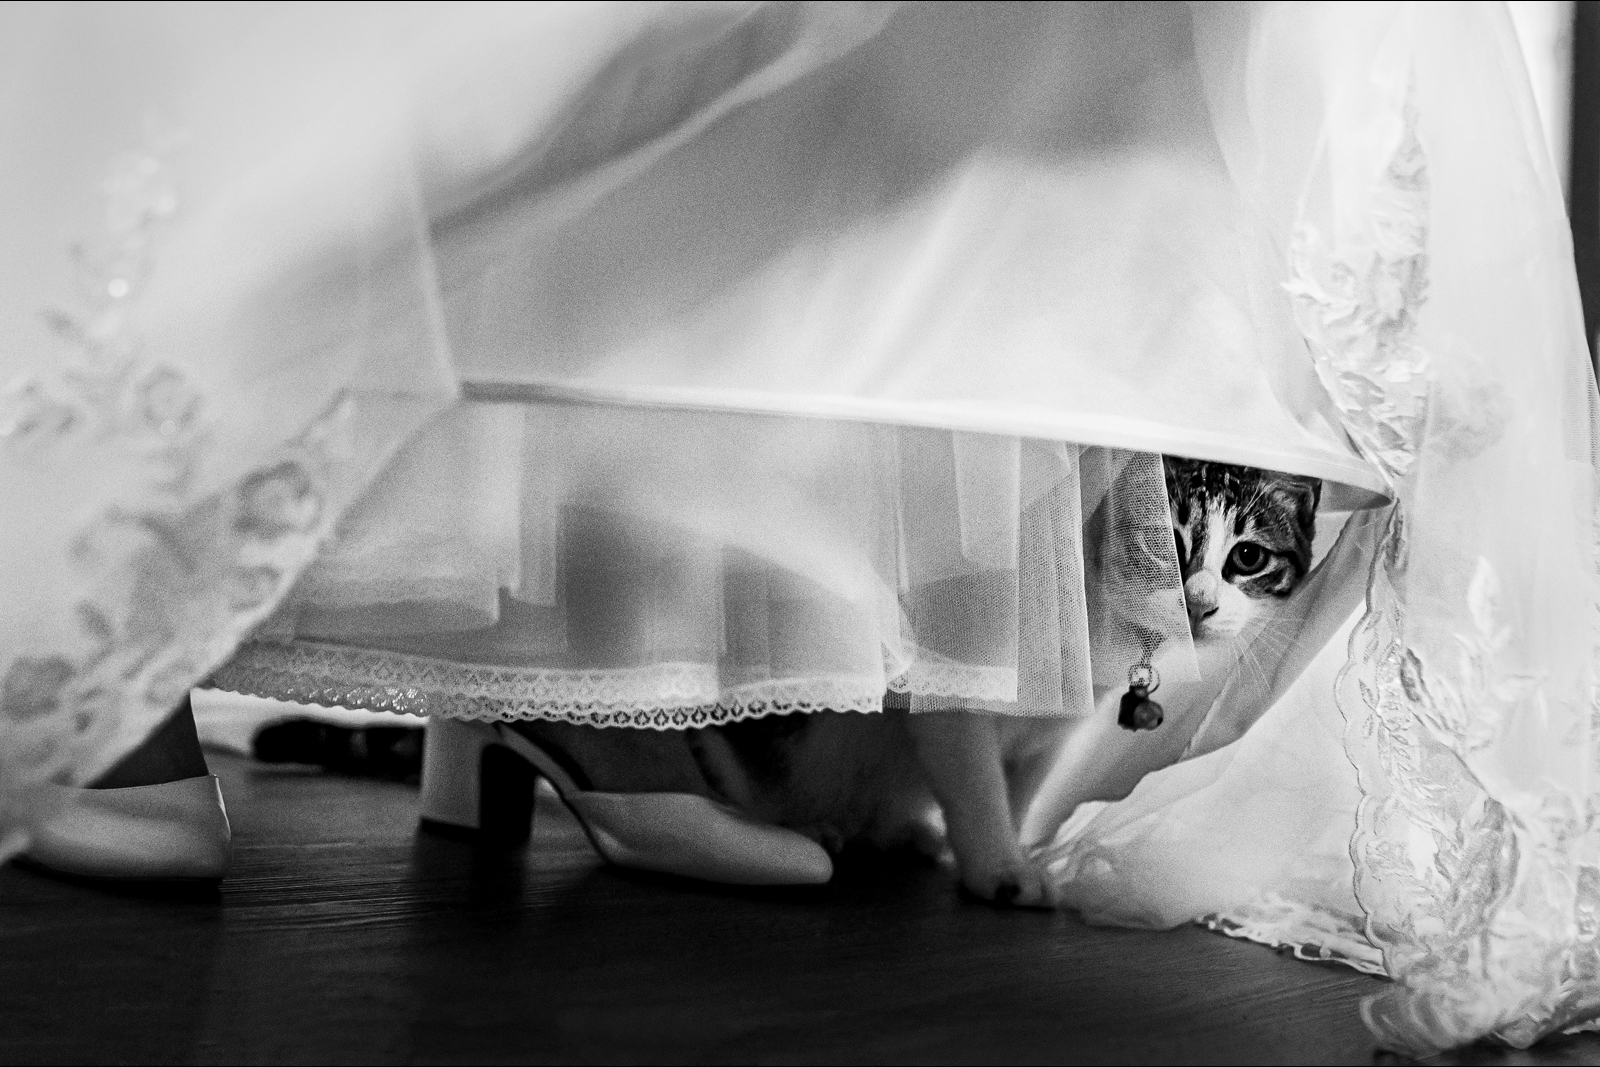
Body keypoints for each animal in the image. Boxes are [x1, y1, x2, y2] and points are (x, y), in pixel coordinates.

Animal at [688, 456, 1322, 906]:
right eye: (1161, 543)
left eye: (1247, 557)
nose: (1199, 604)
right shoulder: (953, 675)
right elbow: (977, 783)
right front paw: (999, 870)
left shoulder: (1054, 728)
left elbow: (1020, 788)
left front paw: (1014, 852)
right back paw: (807, 826)